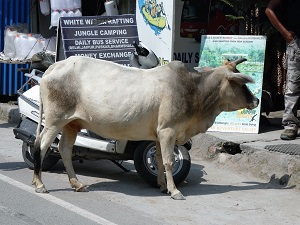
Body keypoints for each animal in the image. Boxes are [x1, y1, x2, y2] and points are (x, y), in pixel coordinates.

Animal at [32, 55, 258, 200]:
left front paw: (162, 185)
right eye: (241, 84)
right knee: (41, 147)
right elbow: (168, 161)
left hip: (71, 124)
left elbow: (158, 160)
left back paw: (77, 184)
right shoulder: (168, 131)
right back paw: (40, 184)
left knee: (64, 150)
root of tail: (55, 66)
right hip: (54, 121)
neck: (194, 90)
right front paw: (175, 191)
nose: (256, 100)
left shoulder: (159, 136)